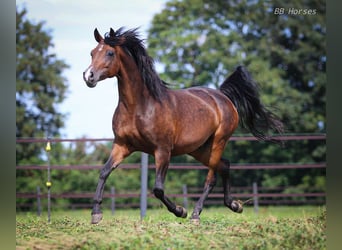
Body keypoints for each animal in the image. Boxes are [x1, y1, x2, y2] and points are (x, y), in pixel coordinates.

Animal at [82, 27, 284, 225]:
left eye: (109, 53)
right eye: (92, 53)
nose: (88, 76)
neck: (139, 107)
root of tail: (222, 96)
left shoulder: (163, 150)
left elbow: (158, 189)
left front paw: (180, 211)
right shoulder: (122, 145)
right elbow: (104, 172)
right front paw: (96, 213)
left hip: (219, 141)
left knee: (212, 177)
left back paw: (196, 214)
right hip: (199, 149)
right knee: (225, 165)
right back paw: (234, 205)